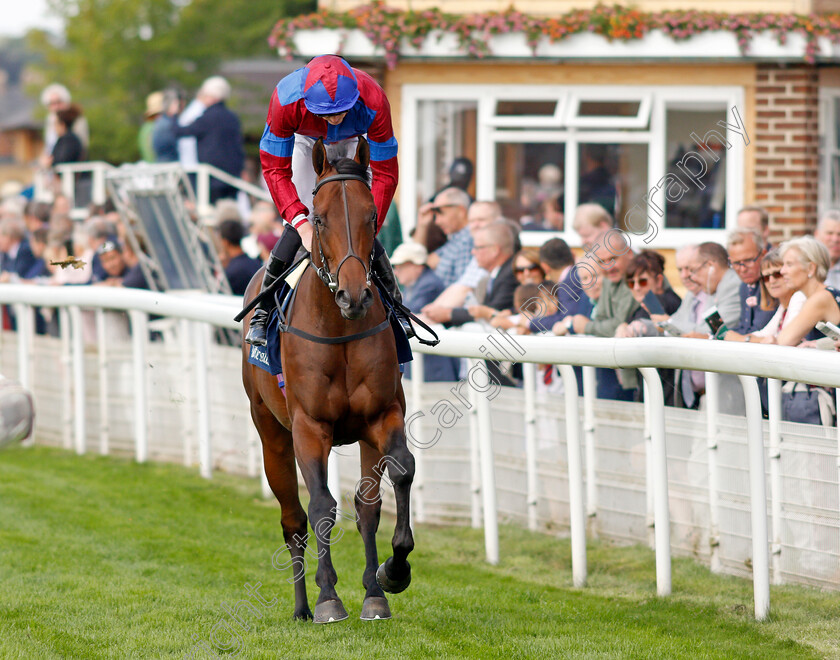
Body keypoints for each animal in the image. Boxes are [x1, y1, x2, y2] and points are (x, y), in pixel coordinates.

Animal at [240, 135, 414, 624]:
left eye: (372, 217)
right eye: (318, 219)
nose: (354, 295)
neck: (339, 329)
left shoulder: (384, 413)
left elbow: (401, 471)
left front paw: (393, 573)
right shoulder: (309, 426)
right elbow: (320, 506)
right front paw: (327, 598)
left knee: (367, 507)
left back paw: (373, 592)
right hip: (270, 432)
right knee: (293, 520)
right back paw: (302, 606)